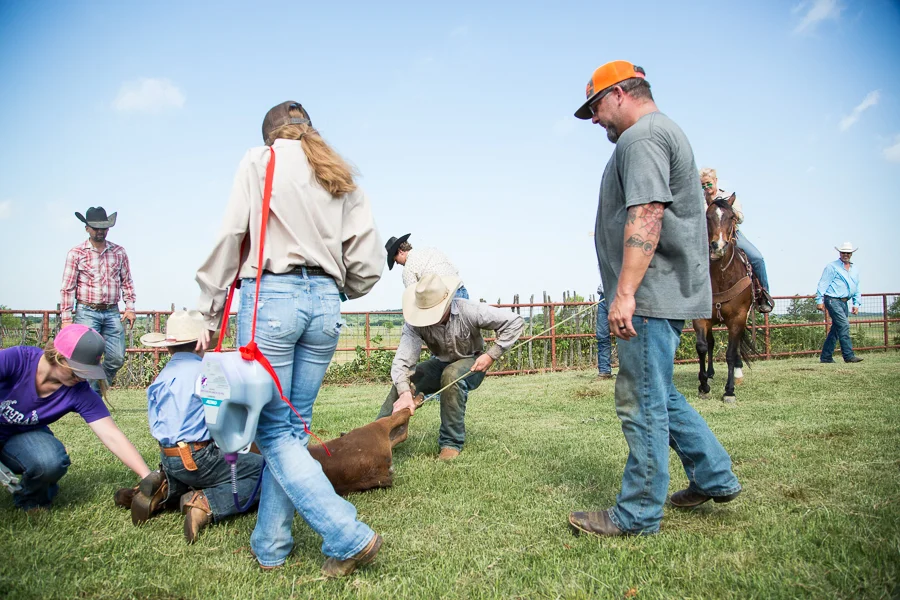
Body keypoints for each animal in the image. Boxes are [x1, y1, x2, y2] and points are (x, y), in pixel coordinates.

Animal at [693, 195, 756, 403]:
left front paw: (729, 391)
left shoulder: (738, 318)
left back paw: (737, 374)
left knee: (735, 350)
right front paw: (703, 385)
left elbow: (729, 353)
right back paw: (710, 374)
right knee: (711, 344)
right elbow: (702, 347)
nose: (718, 246)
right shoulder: (701, 319)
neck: (721, 276)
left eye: (732, 217)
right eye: (707, 217)